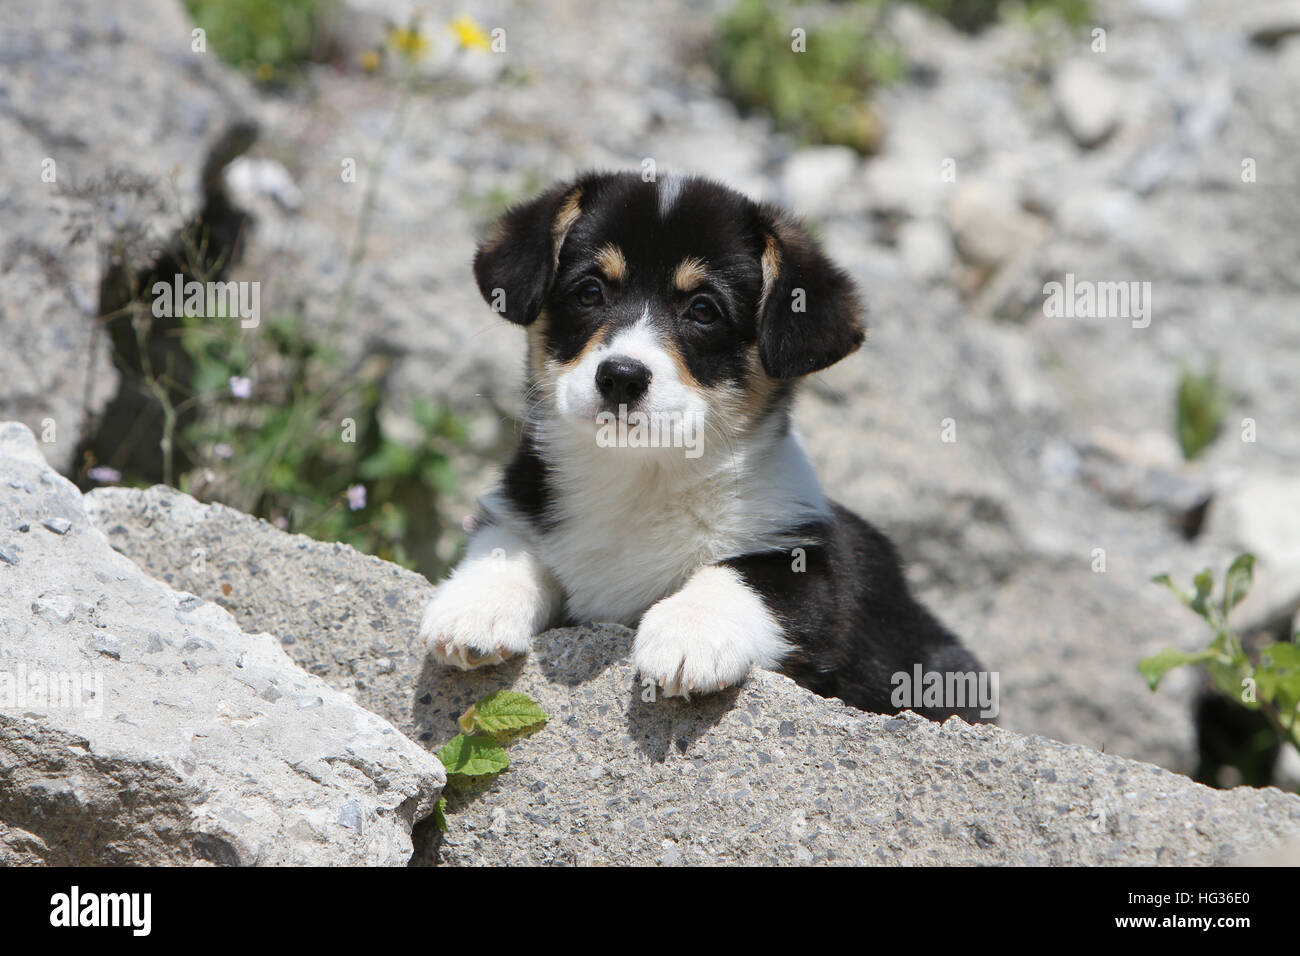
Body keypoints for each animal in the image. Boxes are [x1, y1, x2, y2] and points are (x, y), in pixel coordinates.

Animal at [421, 174, 987, 723]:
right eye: (589, 292)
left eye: (703, 310)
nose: (620, 376)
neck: (640, 477)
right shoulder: (517, 509)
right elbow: (507, 544)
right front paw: (474, 609)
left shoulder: (813, 568)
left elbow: (743, 577)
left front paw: (688, 635)